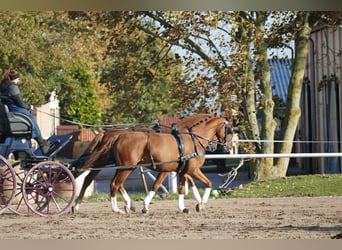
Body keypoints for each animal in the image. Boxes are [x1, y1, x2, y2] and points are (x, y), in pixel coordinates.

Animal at [71, 114, 226, 212]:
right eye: (228, 129)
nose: (225, 146)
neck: (186, 139)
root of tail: (111, 134)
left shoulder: (180, 169)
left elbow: (180, 186)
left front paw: (191, 205)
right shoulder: (183, 169)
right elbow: (205, 183)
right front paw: (201, 203)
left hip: (117, 165)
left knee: (99, 181)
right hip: (122, 166)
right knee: (112, 183)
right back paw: (117, 207)